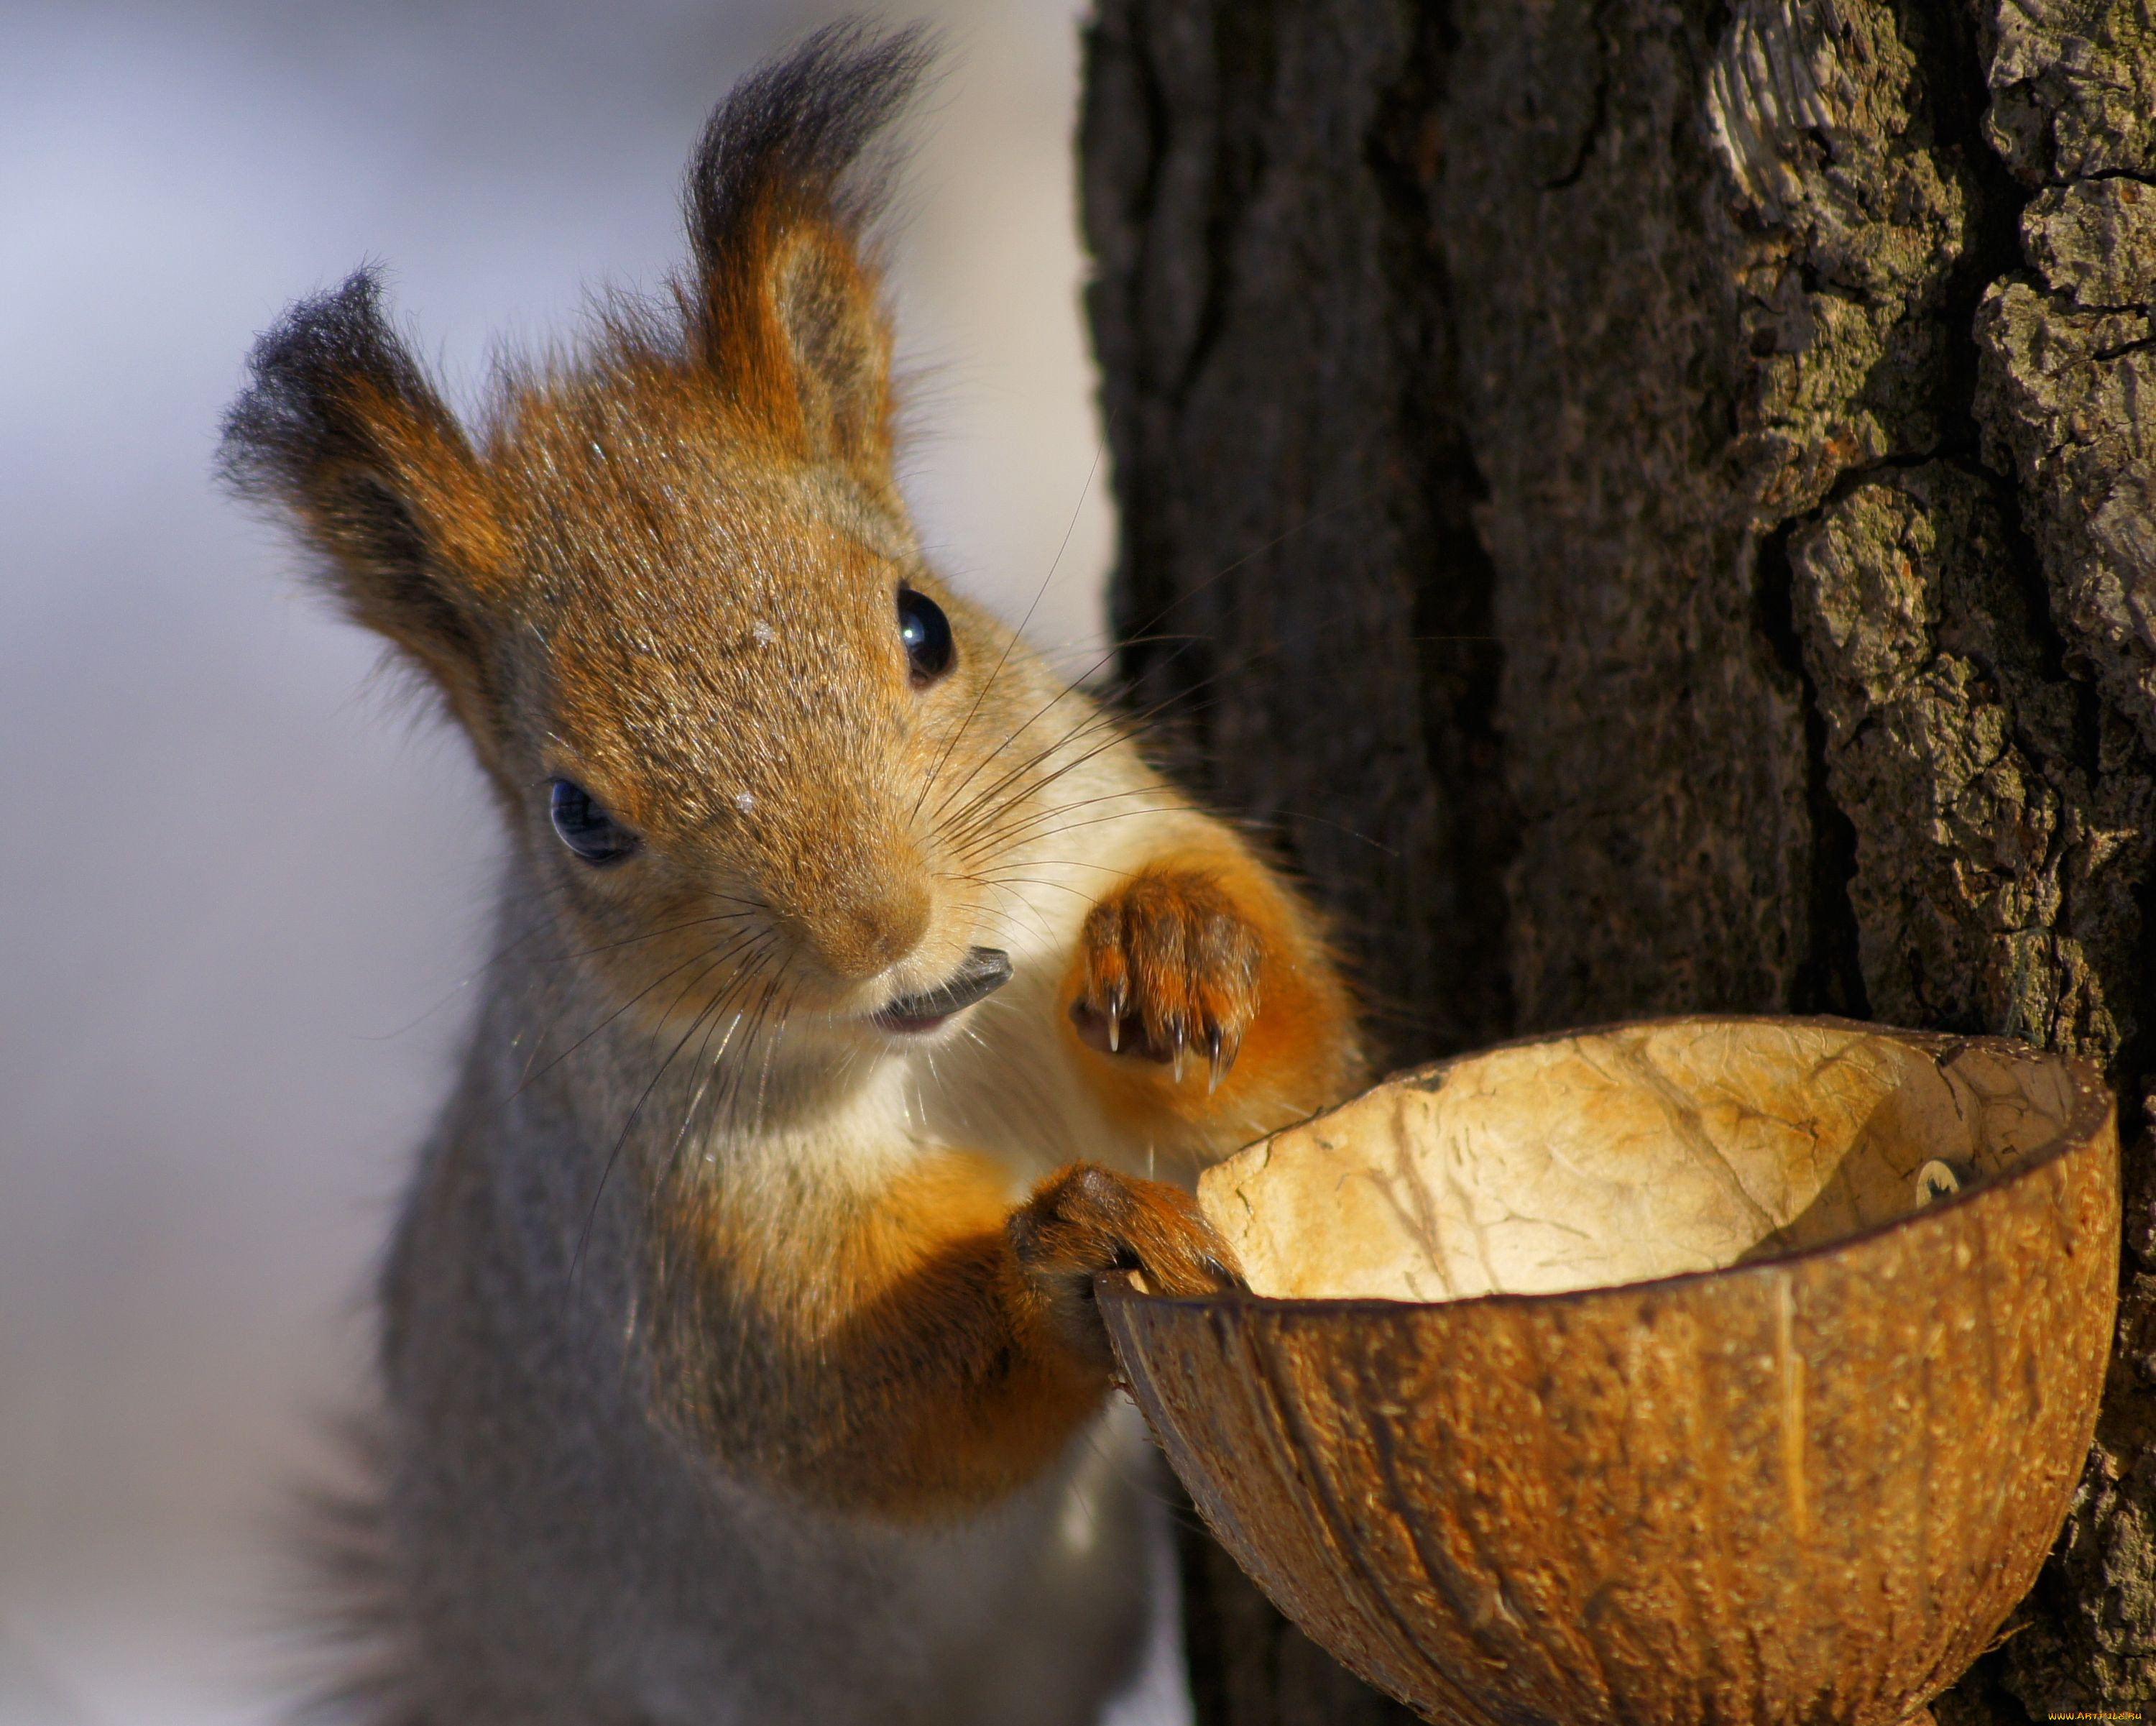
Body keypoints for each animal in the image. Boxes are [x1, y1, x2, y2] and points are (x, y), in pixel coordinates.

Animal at [223, 27, 1363, 1726]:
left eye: (923, 623)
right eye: (577, 815)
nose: (877, 925)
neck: (948, 1043)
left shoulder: (1109, 827)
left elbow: (1291, 1067)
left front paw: (1181, 948)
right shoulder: (676, 1225)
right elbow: (834, 1405)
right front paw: (1052, 1263)